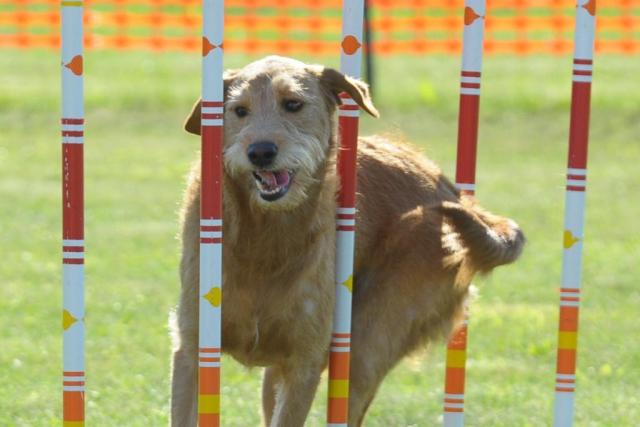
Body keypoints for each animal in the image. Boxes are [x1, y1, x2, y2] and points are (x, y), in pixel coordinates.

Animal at [171, 56, 524, 427]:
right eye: (240, 110)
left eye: (293, 104)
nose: (260, 152)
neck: (264, 235)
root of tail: (449, 188)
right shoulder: (193, 348)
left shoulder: (305, 364)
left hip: (368, 347)